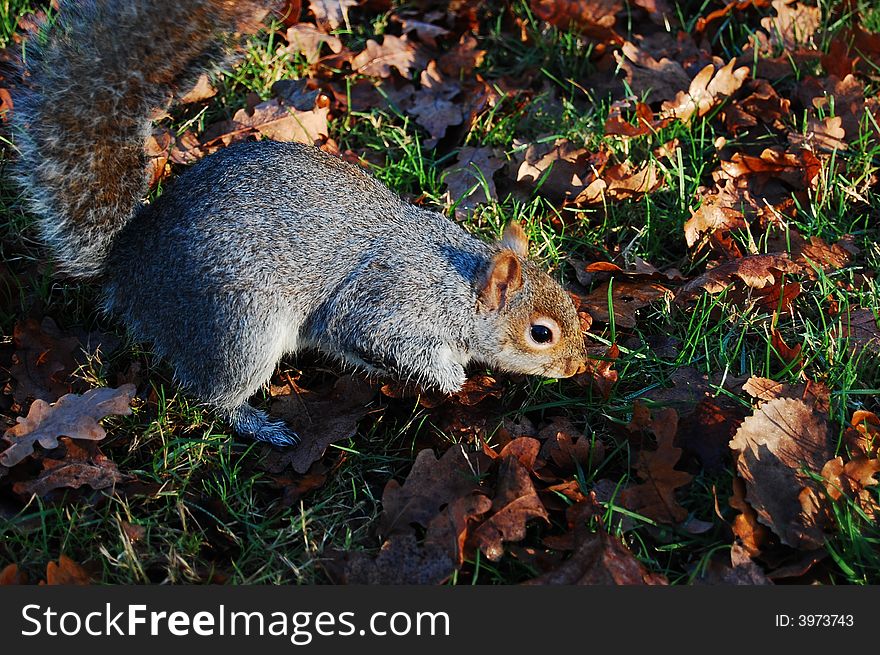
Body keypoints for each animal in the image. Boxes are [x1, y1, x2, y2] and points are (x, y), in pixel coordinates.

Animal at [10, 0, 588, 446]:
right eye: (541, 334)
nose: (577, 369)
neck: (461, 284)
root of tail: (131, 266)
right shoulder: (393, 303)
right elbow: (376, 334)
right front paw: (449, 377)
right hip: (240, 326)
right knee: (213, 394)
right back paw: (258, 424)